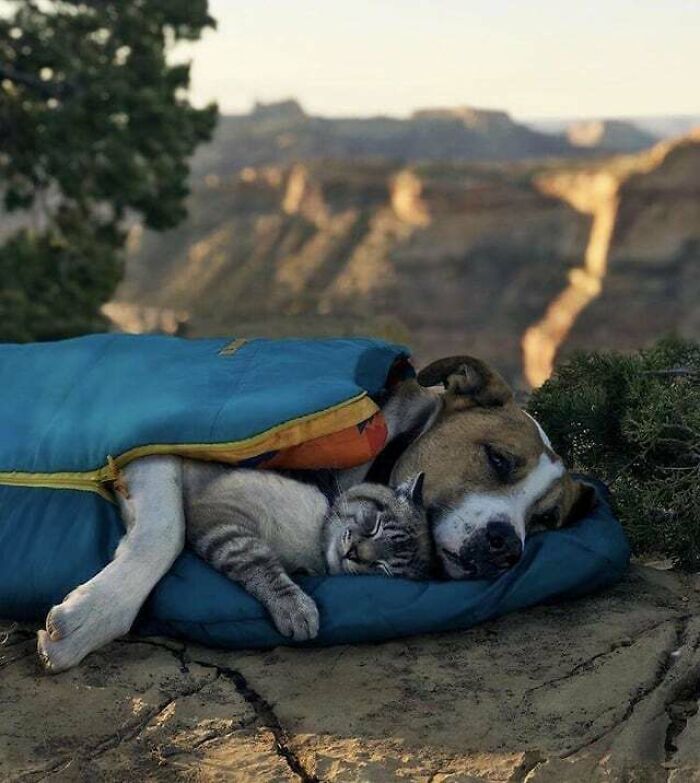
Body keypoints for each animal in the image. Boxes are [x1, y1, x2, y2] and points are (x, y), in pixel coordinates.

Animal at [180, 462, 432, 640]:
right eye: (375, 526)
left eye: (381, 567)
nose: (353, 553)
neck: (313, 548)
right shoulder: (222, 517)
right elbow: (260, 563)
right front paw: (297, 611)